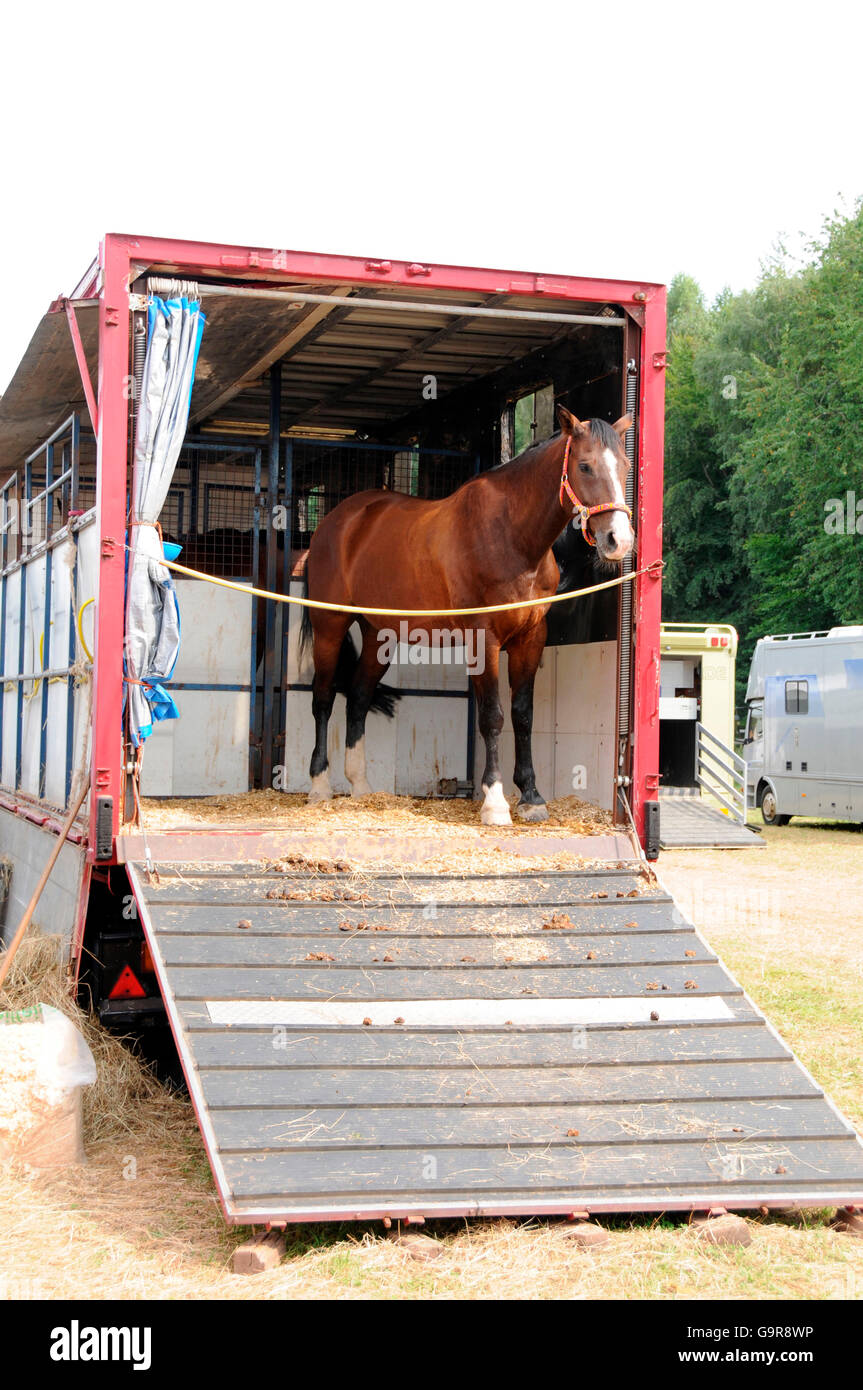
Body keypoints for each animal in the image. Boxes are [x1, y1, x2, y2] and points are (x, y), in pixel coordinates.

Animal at [299, 407, 634, 825]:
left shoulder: (531, 638)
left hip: (380, 634)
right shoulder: (483, 639)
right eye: (585, 466)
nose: (618, 540)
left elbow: (523, 716)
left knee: (358, 698)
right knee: (323, 698)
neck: (512, 536)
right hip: (329, 627)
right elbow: (492, 716)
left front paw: (532, 797)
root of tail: (336, 522)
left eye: (625, 465)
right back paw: (319, 787)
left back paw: (361, 788)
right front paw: (495, 802)